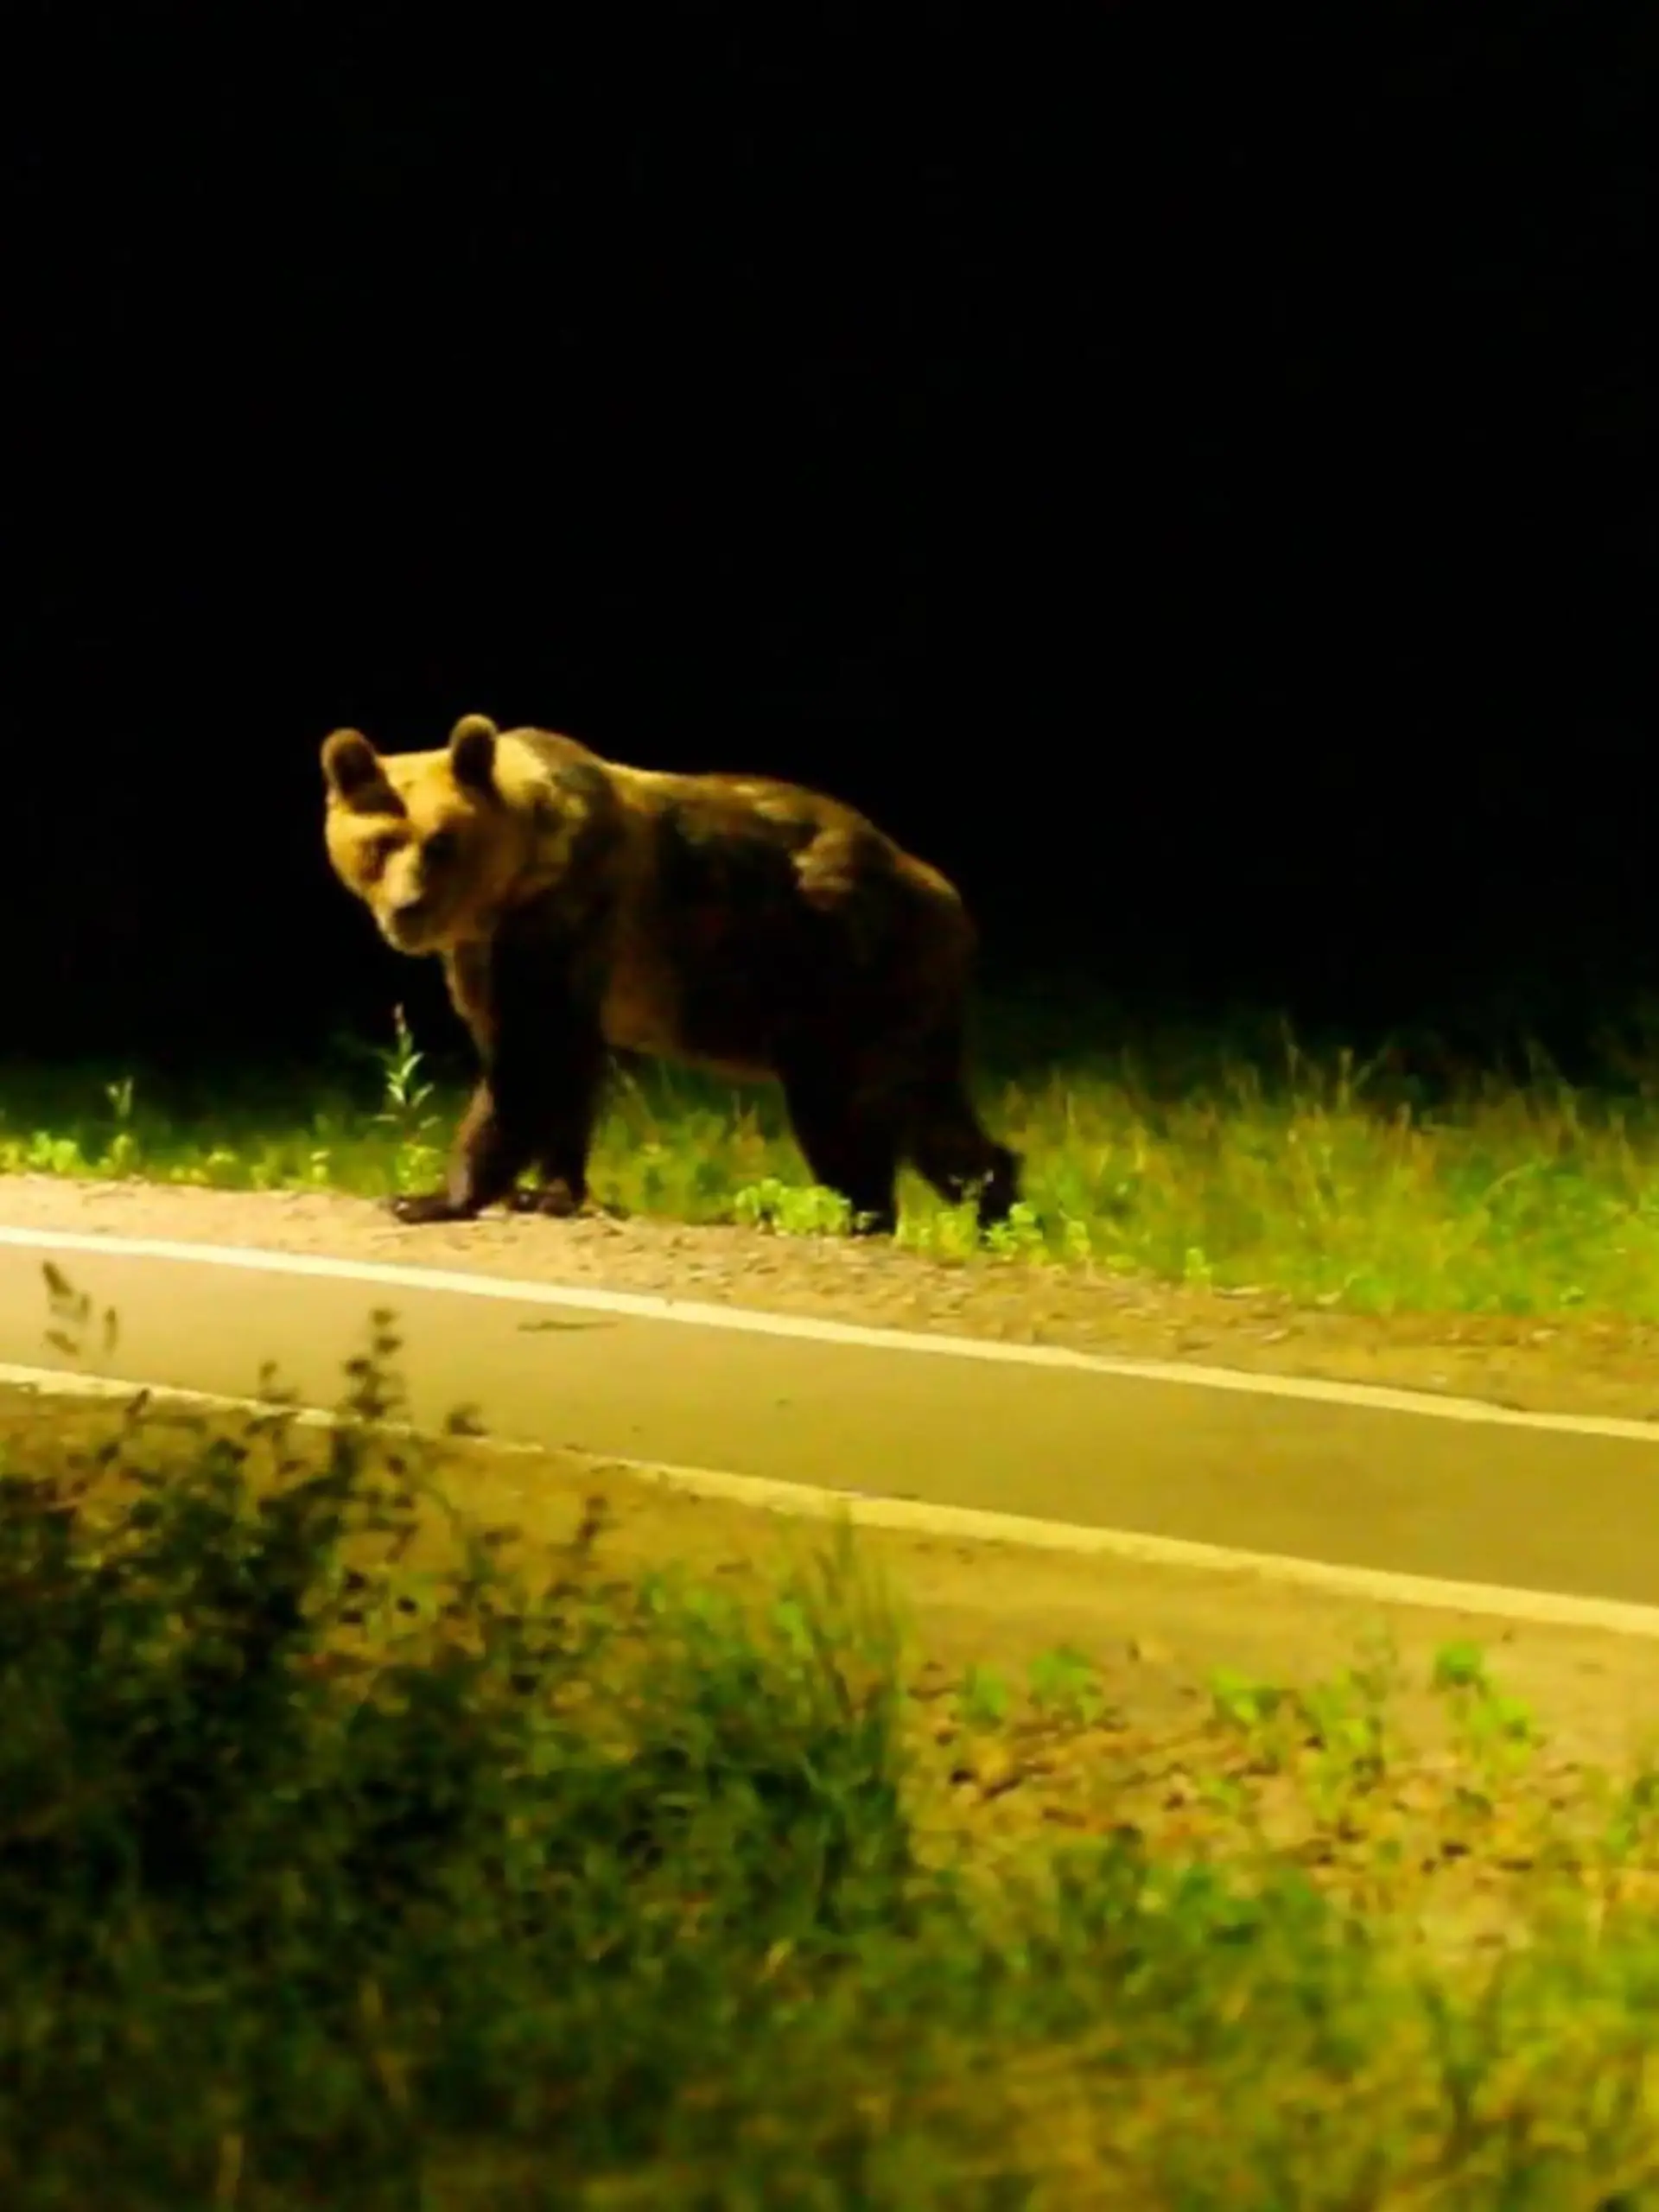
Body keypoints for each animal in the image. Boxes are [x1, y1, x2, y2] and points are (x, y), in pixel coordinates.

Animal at [320, 711, 1021, 1239]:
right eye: (381, 843)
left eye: (441, 842)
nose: (408, 908)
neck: (519, 875)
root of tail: (944, 895)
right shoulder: (491, 956)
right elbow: (560, 1065)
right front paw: (551, 1189)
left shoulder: (563, 920)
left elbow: (527, 1064)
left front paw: (431, 1197)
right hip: (899, 1001)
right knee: (927, 1111)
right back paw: (993, 1203)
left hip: (842, 973)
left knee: (845, 1110)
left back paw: (860, 1213)